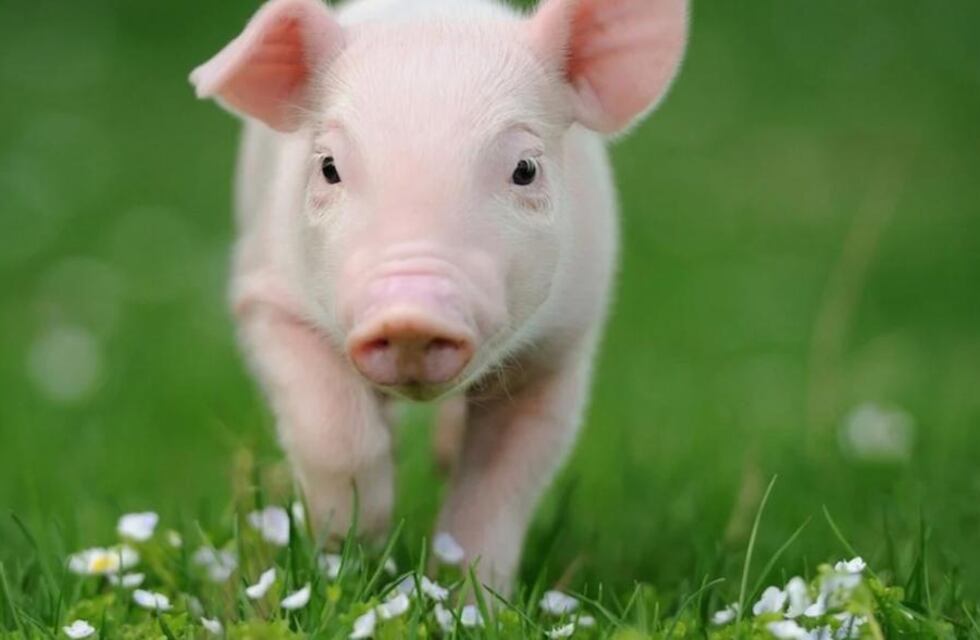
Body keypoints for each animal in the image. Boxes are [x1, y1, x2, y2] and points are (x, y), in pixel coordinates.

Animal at [190, 0, 687, 590]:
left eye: (525, 169)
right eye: (329, 167)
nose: (410, 317)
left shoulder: (561, 345)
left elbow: (502, 481)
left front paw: (467, 597)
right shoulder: (267, 295)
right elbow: (332, 431)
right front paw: (353, 543)